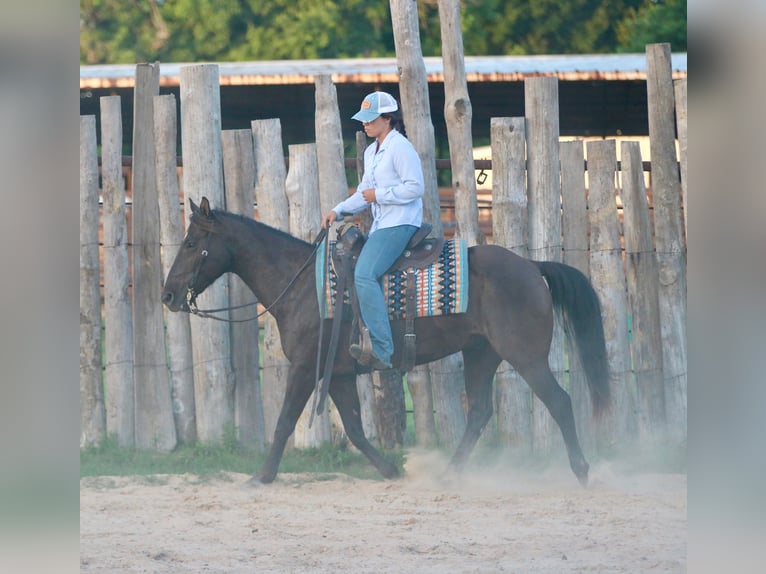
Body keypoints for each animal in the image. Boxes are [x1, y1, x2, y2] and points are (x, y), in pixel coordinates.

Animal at [162, 197, 610, 486]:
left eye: (191, 243)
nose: (167, 295)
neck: (305, 287)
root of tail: (532, 266)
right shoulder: (339, 374)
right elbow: (356, 429)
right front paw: (391, 471)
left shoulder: (306, 368)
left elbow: (286, 421)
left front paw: (262, 476)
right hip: (481, 354)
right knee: (480, 412)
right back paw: (449, 474)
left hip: (525, 356)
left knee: (559, 402)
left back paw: (583, 470)